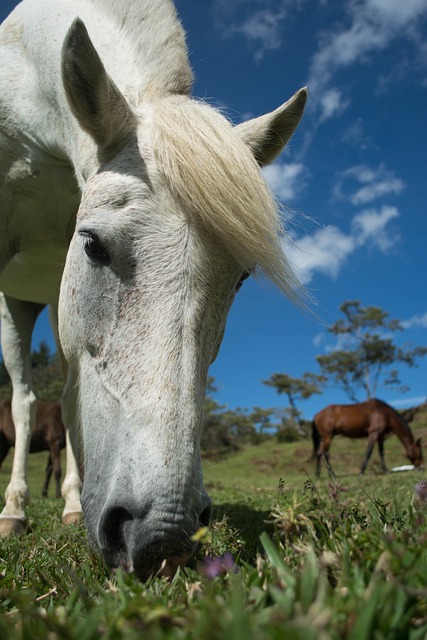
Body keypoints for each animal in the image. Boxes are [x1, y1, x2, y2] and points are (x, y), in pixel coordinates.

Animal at [0, 0, 308, 580]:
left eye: (241, 277)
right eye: (93, 244)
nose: (163, 536)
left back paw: (70, 505)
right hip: (15, 304)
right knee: (25, 400)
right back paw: (14, 512)